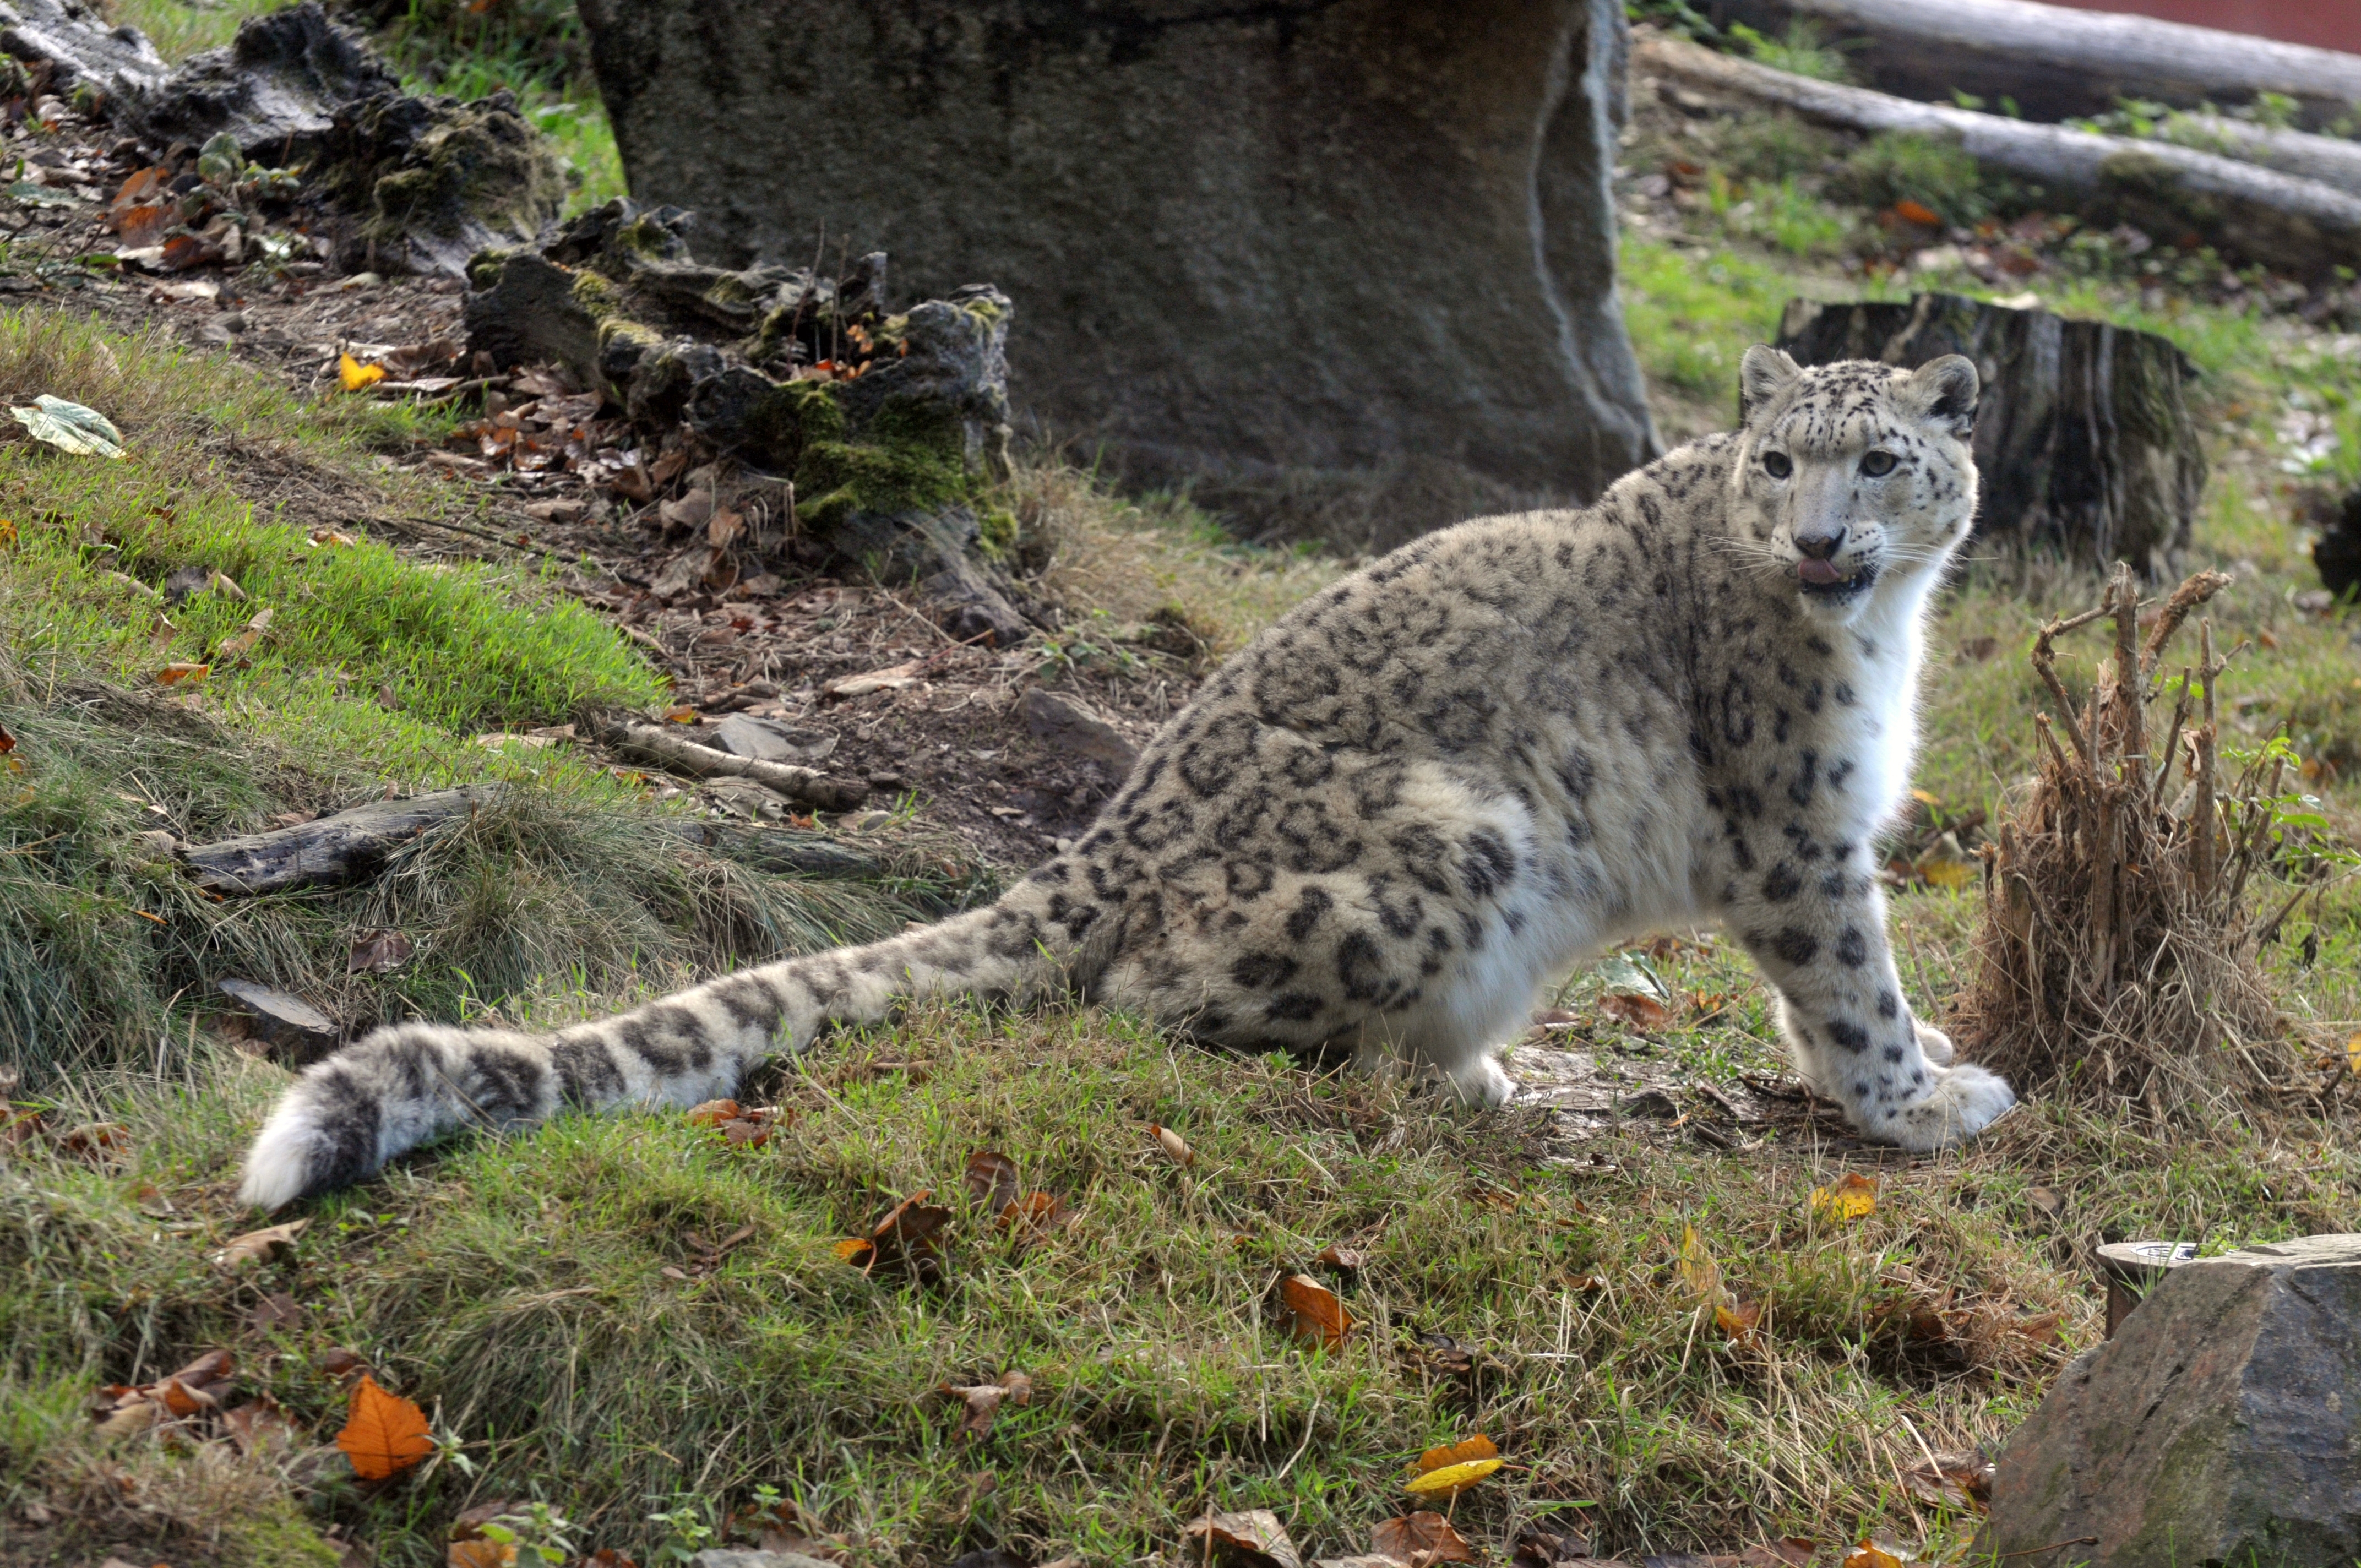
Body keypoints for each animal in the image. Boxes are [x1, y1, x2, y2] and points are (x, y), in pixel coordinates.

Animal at [240, 349, 2011, 1204]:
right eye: (1777, 460)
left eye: (1880, 459)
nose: (1818, 541)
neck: (1890, 633)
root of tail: (1103, 838)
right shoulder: (1795, 829)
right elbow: (1850, 979)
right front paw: (1925, 1100)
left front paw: (1925, 1076)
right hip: (1458, 847)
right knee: (1149, 1004)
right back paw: (1446, 1071)